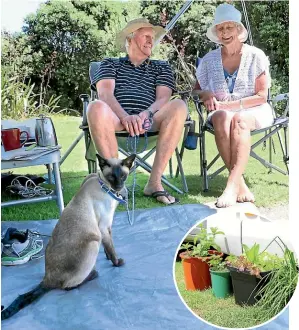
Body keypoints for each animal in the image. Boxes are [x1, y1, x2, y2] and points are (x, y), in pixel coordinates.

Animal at [1, 154, 137, 320]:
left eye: (123, 176)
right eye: (112, 177)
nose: (118, 186)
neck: (103, 185)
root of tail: (47, 280)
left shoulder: (106, 228)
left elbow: (108, 248)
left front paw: (106, 257)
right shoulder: (103, 229)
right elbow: (111, 250)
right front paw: (117, 263)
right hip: (93, 242)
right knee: (67, 287)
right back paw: (92, 274)